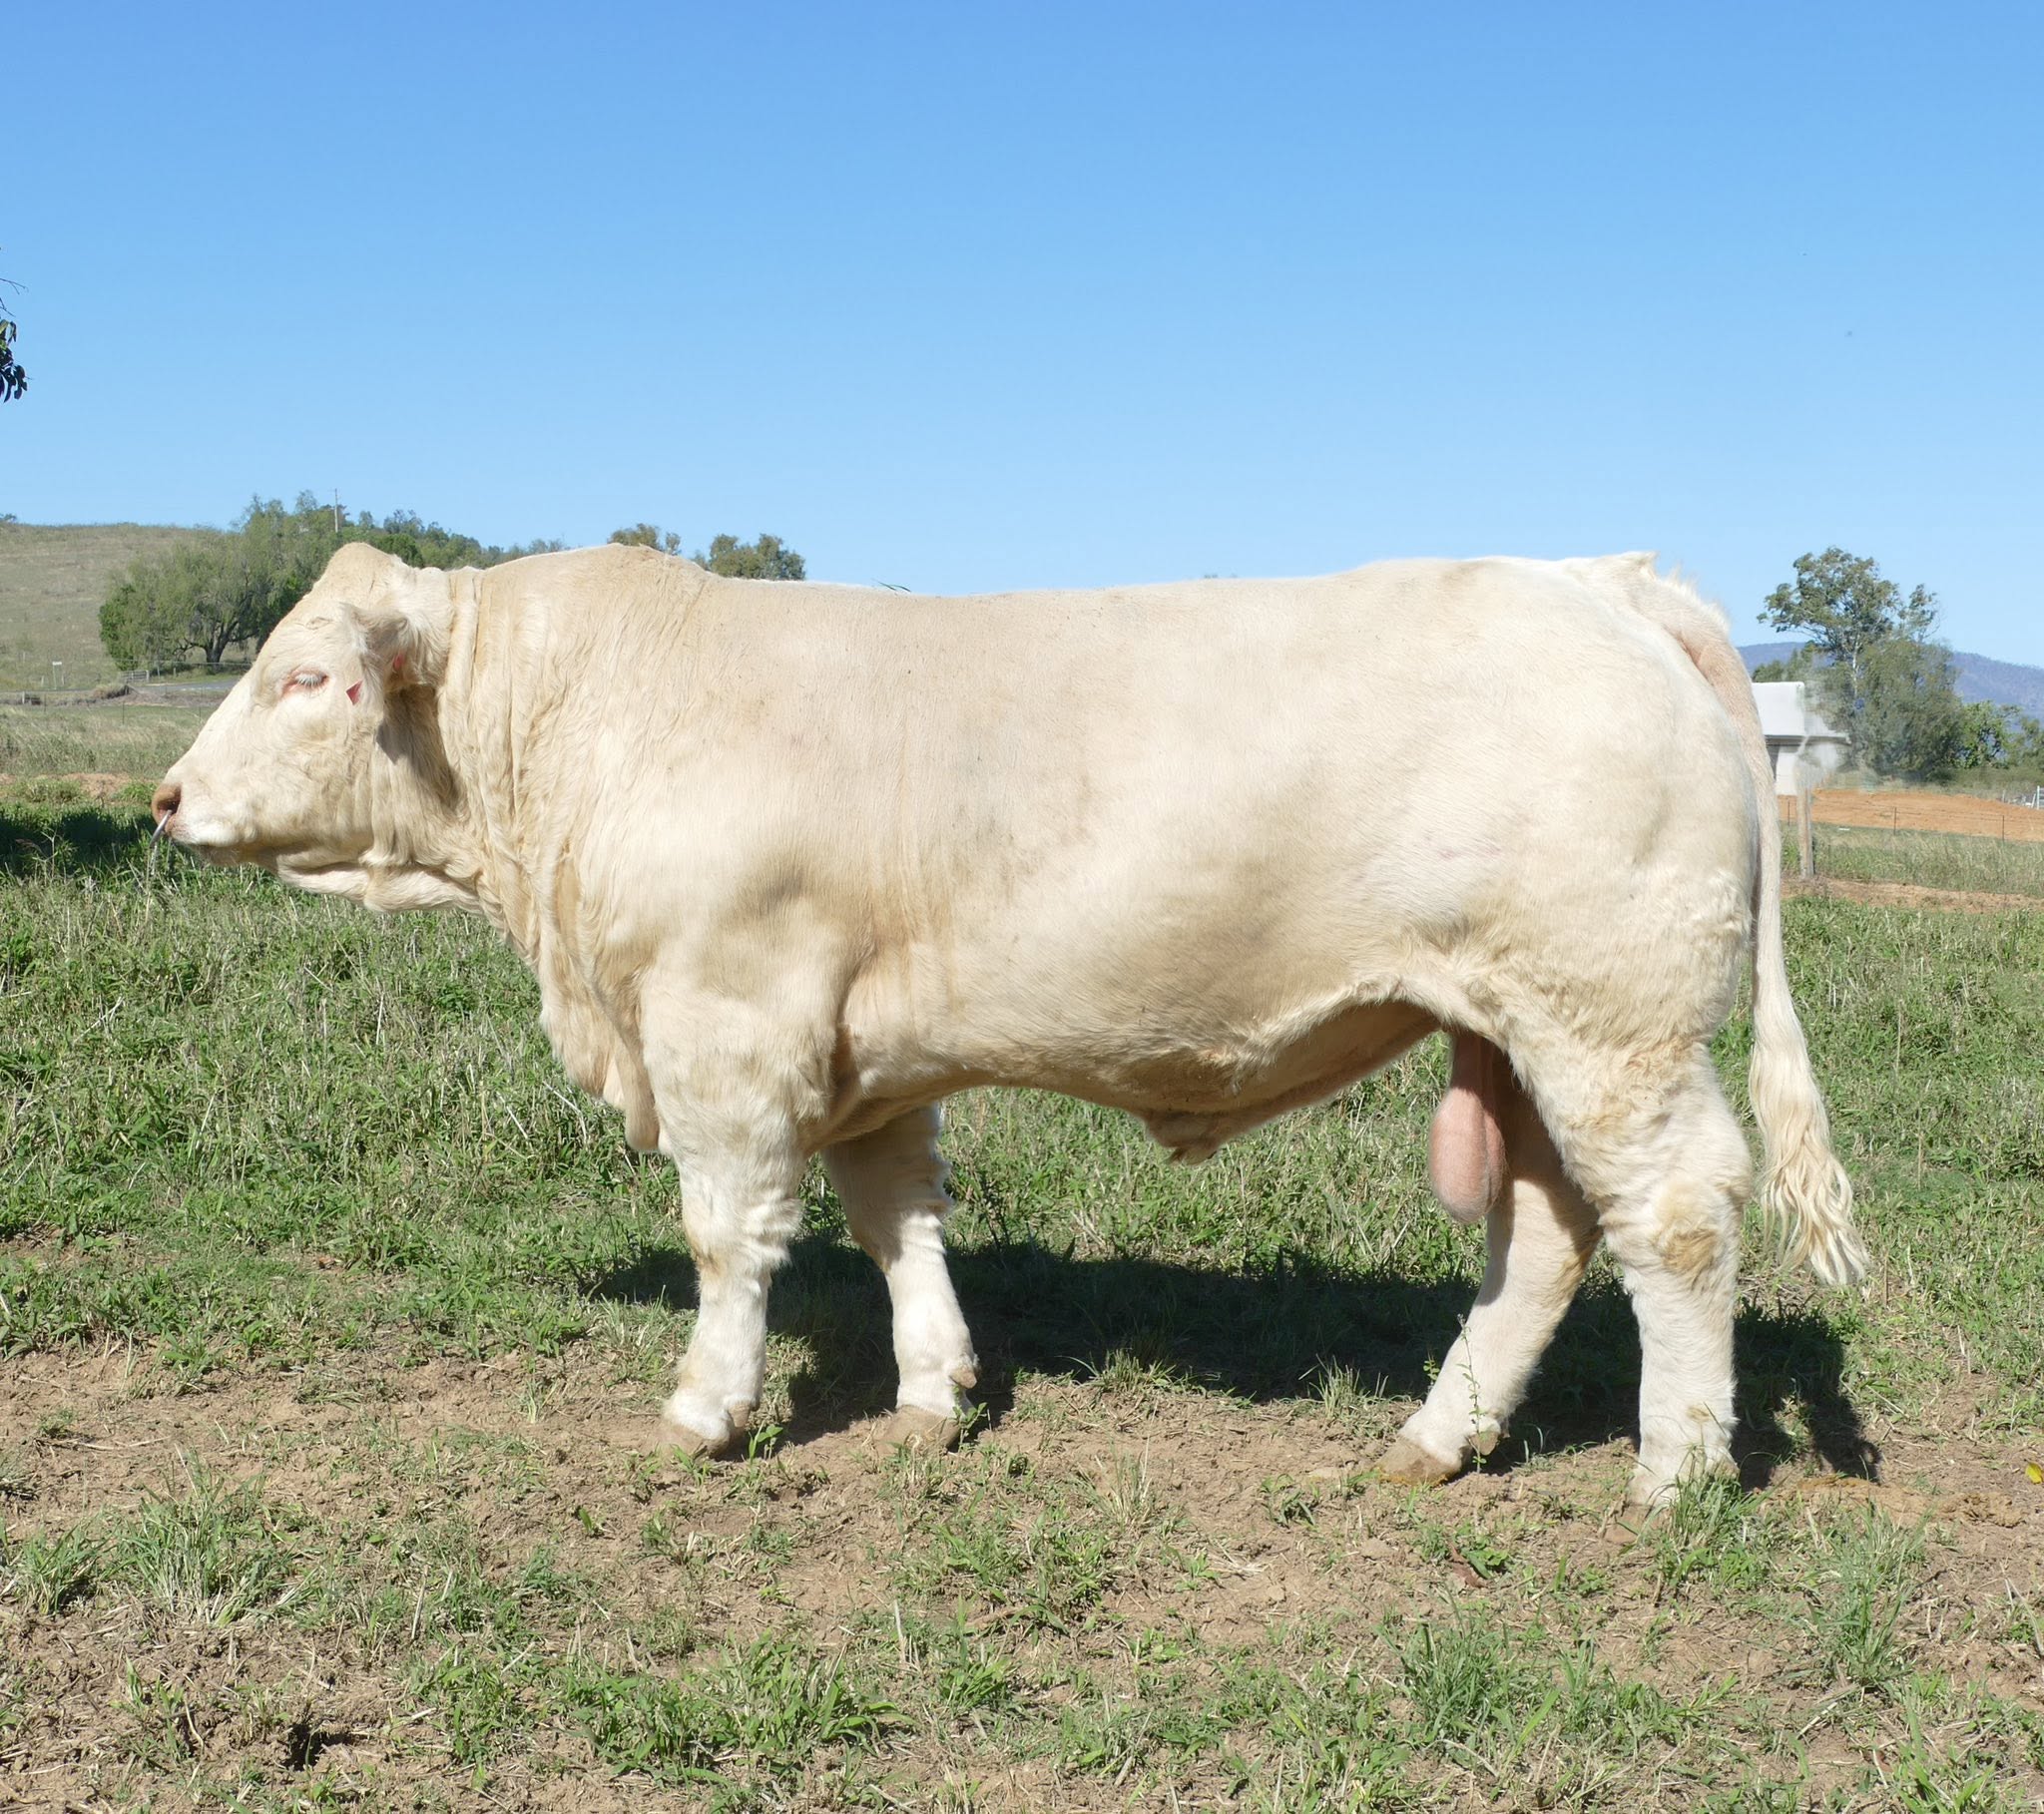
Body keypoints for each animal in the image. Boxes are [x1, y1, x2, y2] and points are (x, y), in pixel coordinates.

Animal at [152, 543, 1865, 1506]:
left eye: (305, 676)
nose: (165, 798)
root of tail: (1599, 575)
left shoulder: (727, 1024)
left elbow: (730, 1235)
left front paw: (707, 1410)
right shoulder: (859, 1056)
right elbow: (896, 1217)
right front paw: (933, 1395)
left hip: (1612, 1023)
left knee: (1677, 1218)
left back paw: (1676, 1469)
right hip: (1525, 1031)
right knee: (1549, 1232)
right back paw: (1438, 1437)